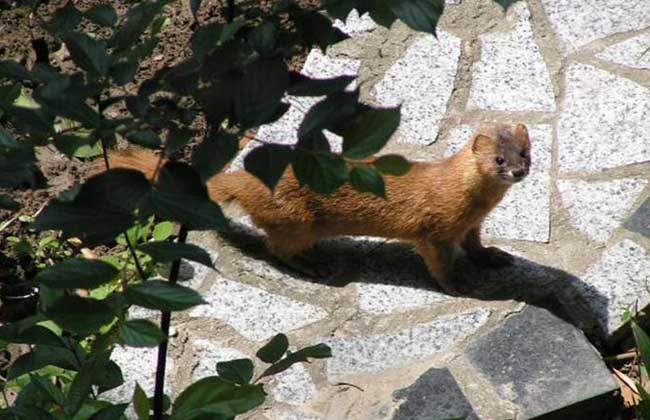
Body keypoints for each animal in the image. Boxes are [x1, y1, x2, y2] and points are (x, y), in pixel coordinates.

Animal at [107, 121, 532, 292]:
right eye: (498, 159)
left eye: (525, 152)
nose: (518, 171)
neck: (473, 202)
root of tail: (246, 178)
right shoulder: (434, 232)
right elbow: (439, 263)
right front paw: (457, 283)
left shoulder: (472, 224)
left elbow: (475, 246)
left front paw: (495, 257)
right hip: (299, 222)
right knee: (274, 247)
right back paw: (313, 265)